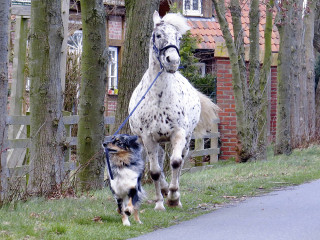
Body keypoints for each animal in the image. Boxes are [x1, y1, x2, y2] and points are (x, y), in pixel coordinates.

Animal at [129, 11, 219, 210]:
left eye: (178, 37)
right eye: (158, 35)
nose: (173, 61)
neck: (160, 97)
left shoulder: (178, 134)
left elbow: (176, 162)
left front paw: (173, 198)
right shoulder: (148, 137)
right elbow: (155, 171)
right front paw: (159, 203)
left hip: (185, 138)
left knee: (179, 160)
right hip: (148, 142)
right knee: (157, 162)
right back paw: (163, 190)